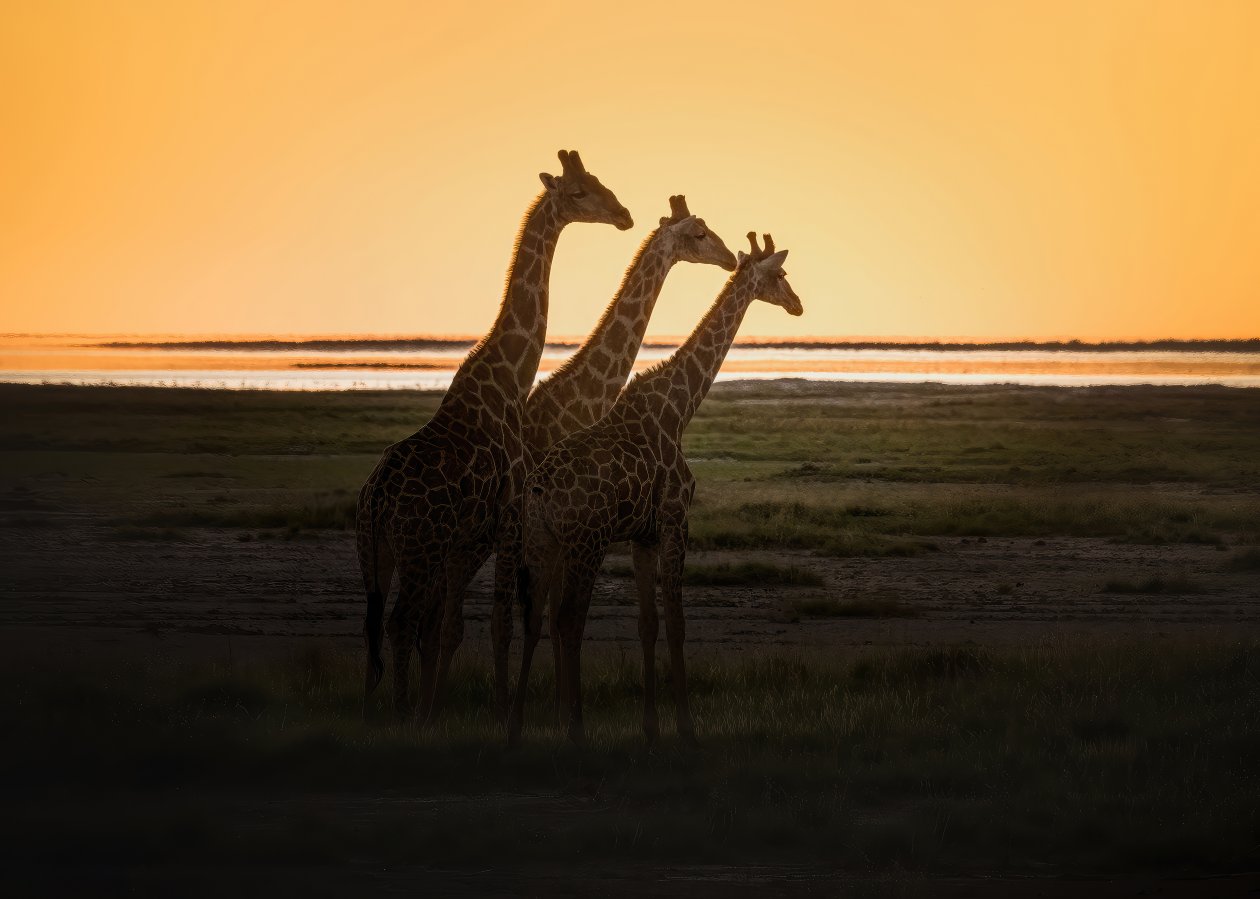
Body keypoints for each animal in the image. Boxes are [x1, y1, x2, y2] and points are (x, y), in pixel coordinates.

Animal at [356, 149, 632, 722]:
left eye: (598, 181)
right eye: (579, 192)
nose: (624, 215)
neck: (509, 376)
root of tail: (375, 500)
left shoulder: (479, 532)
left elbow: (463, 626)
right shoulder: (507, 511)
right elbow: (500, 622)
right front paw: (505, 713)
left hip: (378, 553)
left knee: (374, 627)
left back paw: (373, 716)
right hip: (420, 548)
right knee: (400, 622)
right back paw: (401, 717)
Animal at [509, 233, 801, 747]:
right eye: (780, 275)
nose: (798, 305)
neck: (679, 407)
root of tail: (539, 489)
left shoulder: (641, 535)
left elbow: (647, 625)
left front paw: (651, 727)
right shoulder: (674, 519)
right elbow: (678, 624)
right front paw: (685, 726)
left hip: (542, 541)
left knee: (534, 616)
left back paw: (516, 728)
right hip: (585, 542)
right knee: (568, 619)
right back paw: (575, 730)